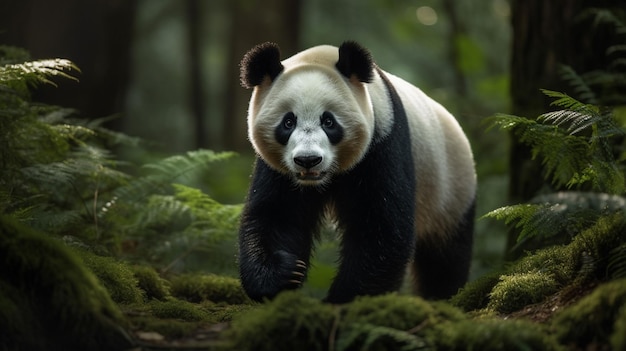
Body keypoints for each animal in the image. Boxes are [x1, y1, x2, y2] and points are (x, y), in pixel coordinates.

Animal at [236, 42, 476, 306]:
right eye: (288, 122)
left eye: (328, 121)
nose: (308, 160)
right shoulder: (278, 170)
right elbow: (277, 215)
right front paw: (283, 273)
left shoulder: (383, 141)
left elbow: (381, 228)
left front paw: (343, 299)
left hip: (451, 189)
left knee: (444, 258)